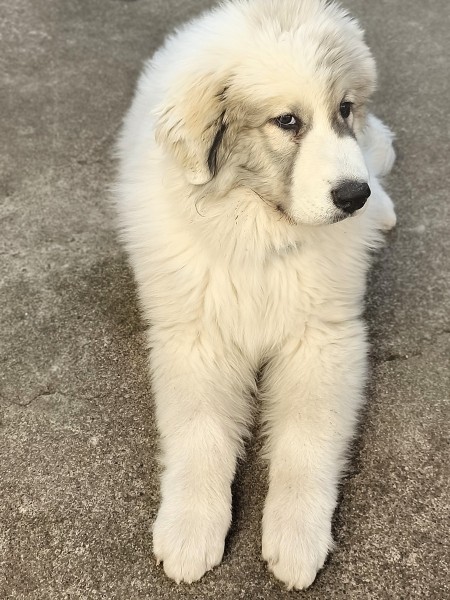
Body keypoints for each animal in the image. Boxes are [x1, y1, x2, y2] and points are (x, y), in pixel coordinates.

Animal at [115, 0, 396, 590]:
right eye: (287, 121)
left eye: (344, 109)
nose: (353, 196)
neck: (259, 233)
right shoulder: (199, 340)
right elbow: (200, 436)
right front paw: (188, 530)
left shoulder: (322, 341)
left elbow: (305, 443)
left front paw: (296, 537)